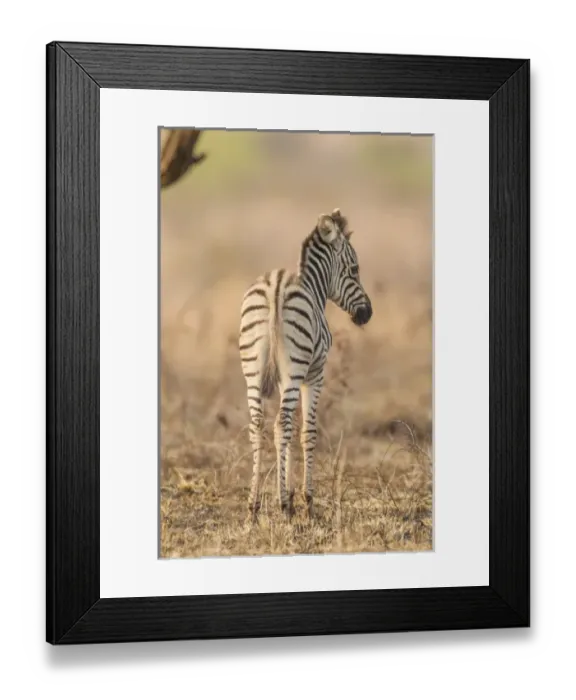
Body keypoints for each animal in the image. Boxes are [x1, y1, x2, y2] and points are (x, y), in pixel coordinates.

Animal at [238, 208, 373, 521]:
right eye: (355, 270)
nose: (368, 313)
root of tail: (275, 286)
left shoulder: (282, 379)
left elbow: (288, 433)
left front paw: (287, 493)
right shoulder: (314, 373)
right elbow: (306, 431)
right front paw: (305, 500)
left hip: (253, 370)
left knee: (260, 426)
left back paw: (253, 507)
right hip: (296, 367)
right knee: (281, 423)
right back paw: (281, 507)